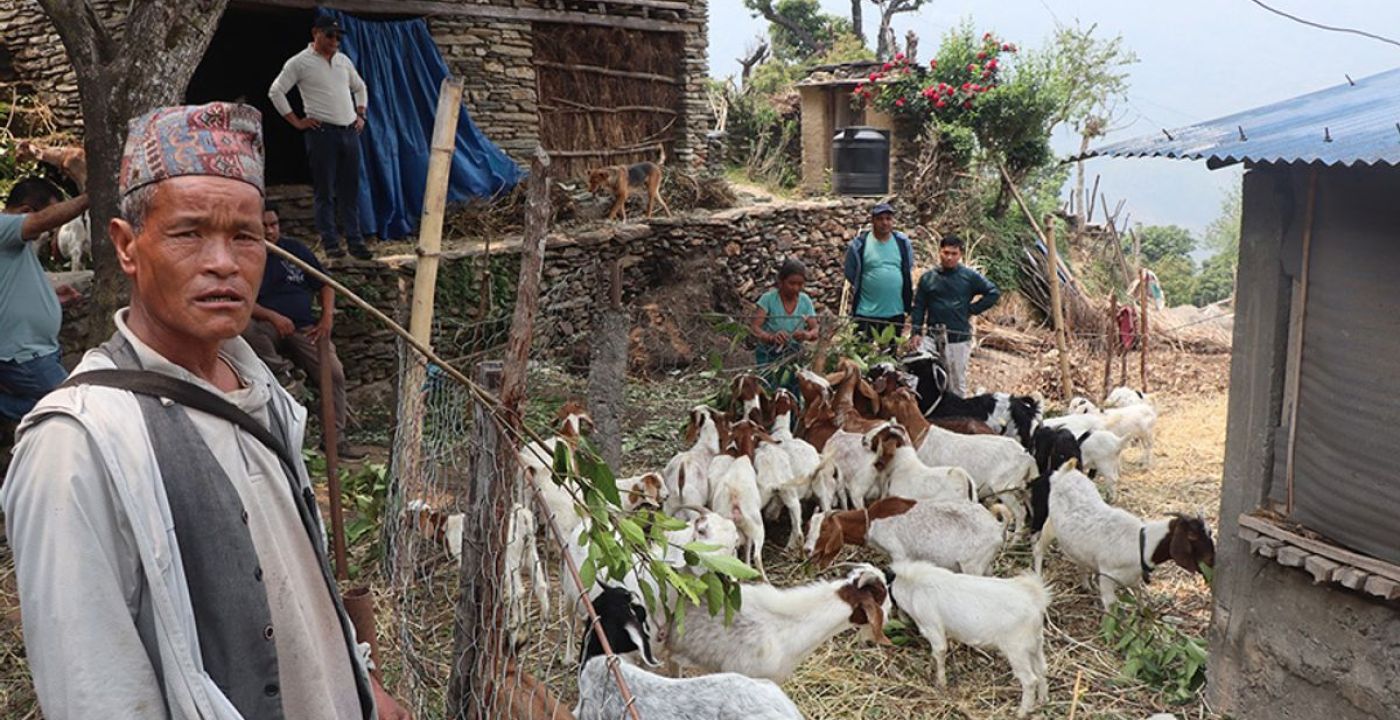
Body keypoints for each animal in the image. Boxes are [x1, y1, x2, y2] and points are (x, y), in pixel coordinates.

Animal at [804, 496, 1010, 576]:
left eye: (824, 530)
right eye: (807, 527)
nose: (807, 550)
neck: (870, 521)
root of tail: (997, 525)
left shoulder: (898, 554)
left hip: (972, 565)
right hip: (985, 564)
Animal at [888, 561, 1051, 718]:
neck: (915, 586)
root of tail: (1035, 599)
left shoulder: (932, 626)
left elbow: (939, 652)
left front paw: (941, 683)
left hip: (1017, 651)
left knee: (1030, 680)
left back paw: (1021, 712)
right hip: (1036, 644)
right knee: (1042, 669)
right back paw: (1042, 700)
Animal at [1033, 463, 1216, 609]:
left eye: (1210, 532)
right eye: (1191, 536)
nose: (1212, 561)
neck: (1142, 545)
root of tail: (1064, 473)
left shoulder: (1133, 578)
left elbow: (1140, 597)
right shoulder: (1107, 579)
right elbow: (1111, 609)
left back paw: (1086, 585)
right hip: (1050, 523)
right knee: (1038, 548)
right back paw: (1038, 576)